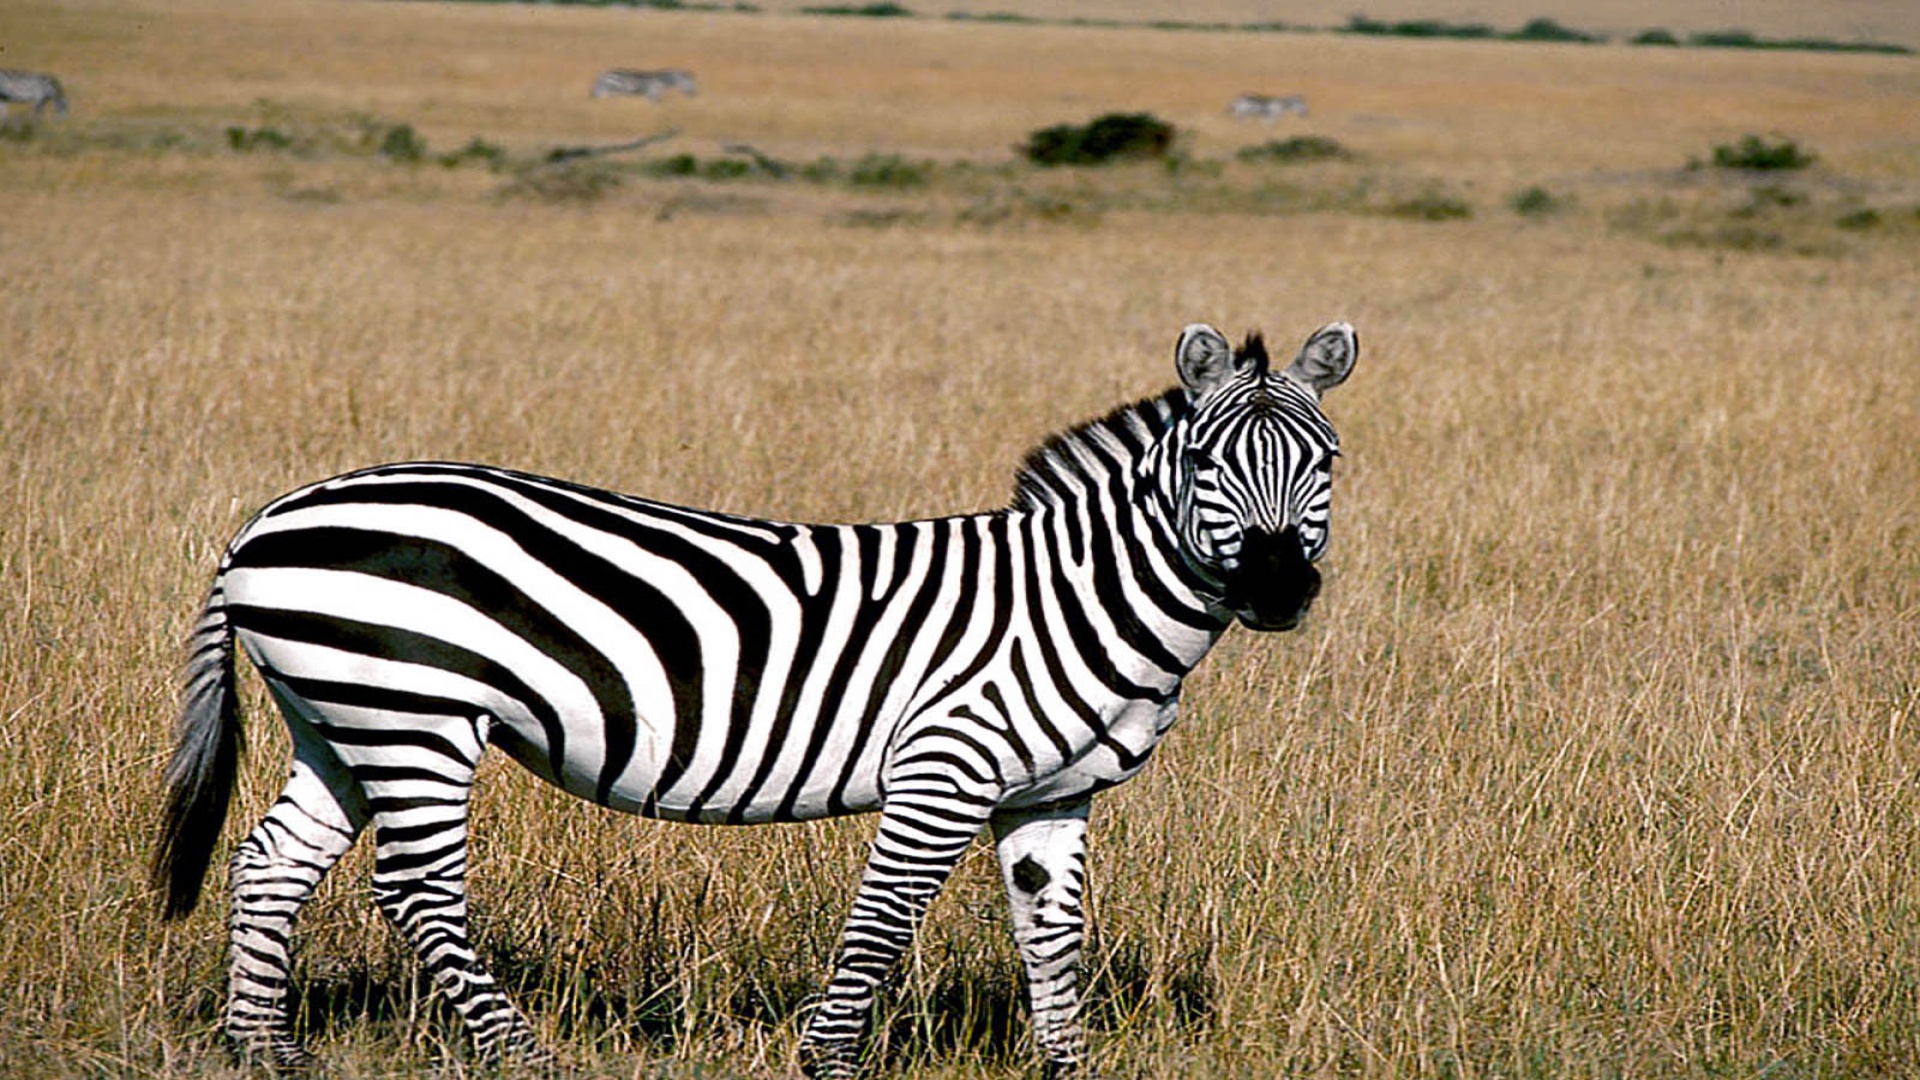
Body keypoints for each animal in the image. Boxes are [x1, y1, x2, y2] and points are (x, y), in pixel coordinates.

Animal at [152, 320, 1357, 1077]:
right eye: (1205, 463)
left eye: (1327, 462)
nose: (1278, 589)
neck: (1072, 597)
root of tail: (267, 519)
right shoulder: (944, 767)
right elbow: (883, 923)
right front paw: (829, 1061)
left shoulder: (1048, 796)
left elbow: (1050, 935)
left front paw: (1067, 1064)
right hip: (412, 716)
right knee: (416, 891)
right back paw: (527, 1055)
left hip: (343, 718)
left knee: (271, 863)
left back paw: (265, 1049)